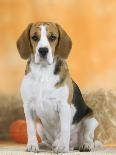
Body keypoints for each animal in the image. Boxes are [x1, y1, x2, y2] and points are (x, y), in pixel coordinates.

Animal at [16, 21, 98, 153]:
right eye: (34, 37)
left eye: (52, 37)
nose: (43, 50)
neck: (43, 73)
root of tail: (74, 145)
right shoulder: (28, 106)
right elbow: (30, 129)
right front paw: (32, 145)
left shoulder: (64, 106)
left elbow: (64, 129)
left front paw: (62, 147)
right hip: (40, 126)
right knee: (48, 141)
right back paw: (45, 145)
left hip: (90, 120)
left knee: (87, 136)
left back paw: (84, 145)